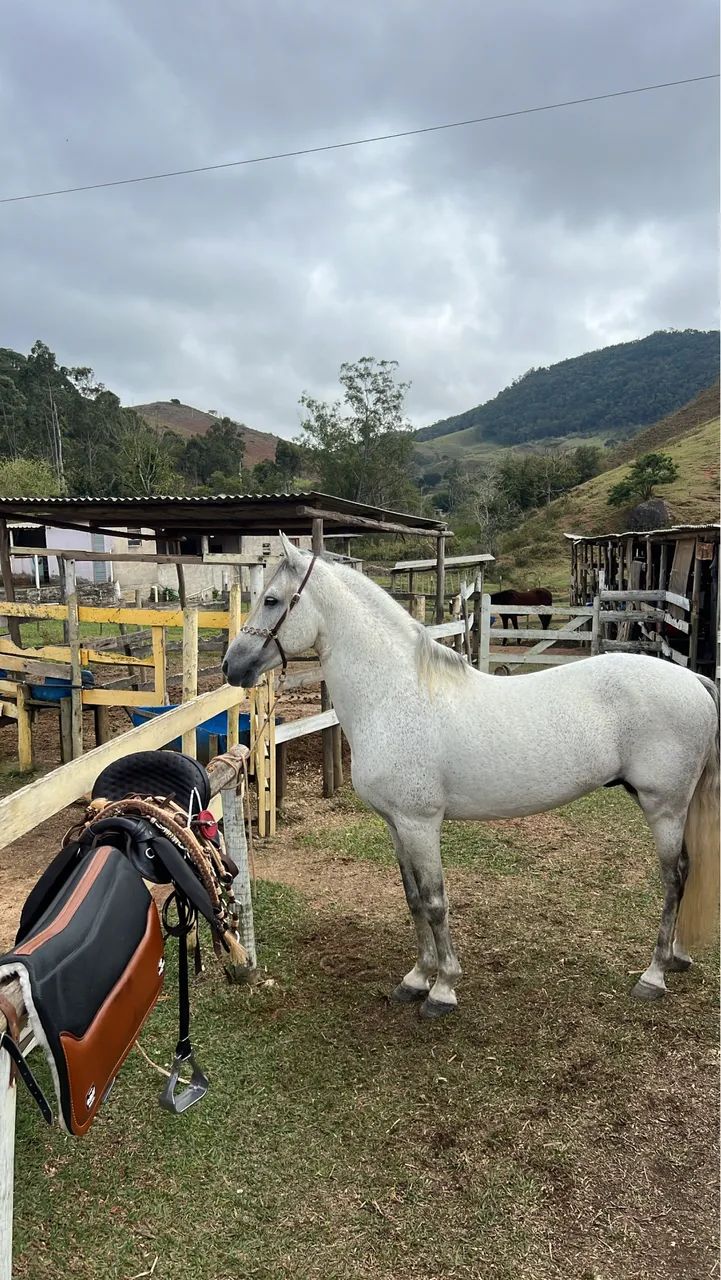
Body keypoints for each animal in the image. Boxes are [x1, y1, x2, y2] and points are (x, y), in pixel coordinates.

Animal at [223, 537, 719, 1020]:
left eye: (271, 600)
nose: (232, 666)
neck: (396, 695)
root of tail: (693, 679)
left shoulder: (421, 824)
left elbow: (435, 901)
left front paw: (443, 988)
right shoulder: (397, 825)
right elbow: (413, 899)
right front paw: (416, 978)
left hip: (664, 807)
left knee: (674, 876)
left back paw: (654, 974)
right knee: (687, 871)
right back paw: (676, 957)